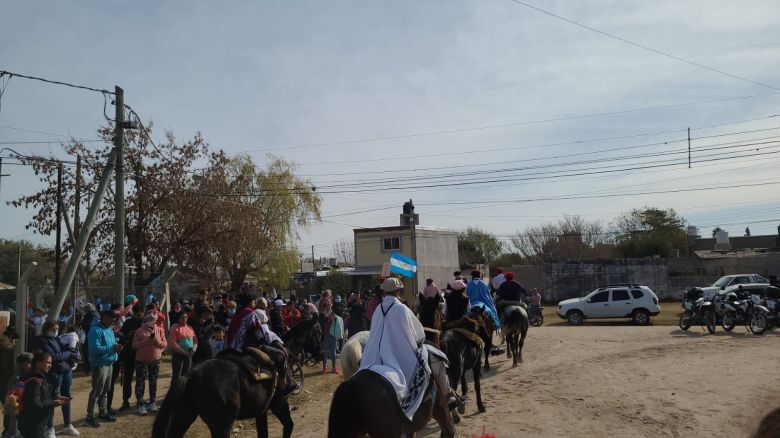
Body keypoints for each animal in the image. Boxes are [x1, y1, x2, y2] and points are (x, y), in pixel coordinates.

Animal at [152, 352, 292, 438]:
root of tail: (189, 375)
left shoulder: (262, 411)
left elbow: (264, 432)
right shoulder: (279, 402)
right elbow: (288, 424)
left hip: (184, 417)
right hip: (223, 424)